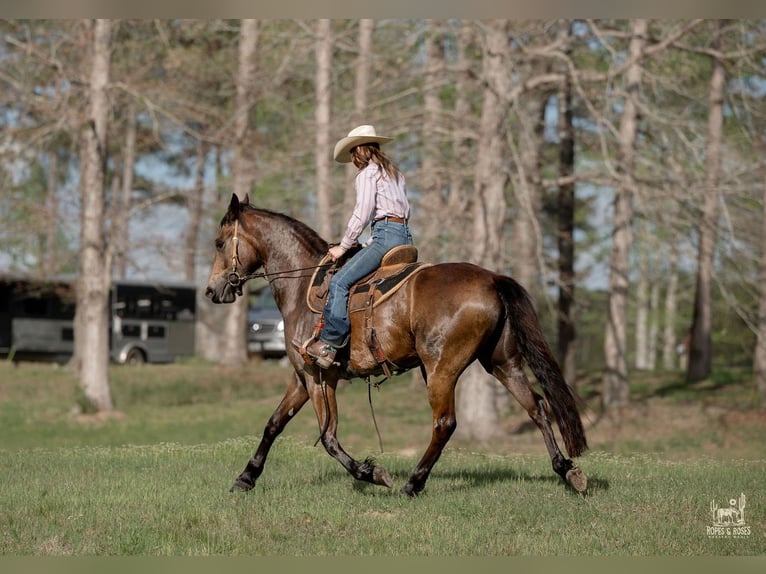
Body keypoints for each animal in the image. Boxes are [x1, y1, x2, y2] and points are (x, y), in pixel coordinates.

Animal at [205, 193, 588, 496]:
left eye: (219, 243)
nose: (212, 290)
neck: (302, 285)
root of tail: (492, 278)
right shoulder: (303, 376)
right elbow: (274, 423)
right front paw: (246, 477)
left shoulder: (319, 378)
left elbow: (328, 437)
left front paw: (371, 473)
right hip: (502, 362)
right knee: (536, 407)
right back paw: (567, 470)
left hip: (440, 369)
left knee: (445, 423)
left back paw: (413, 483)